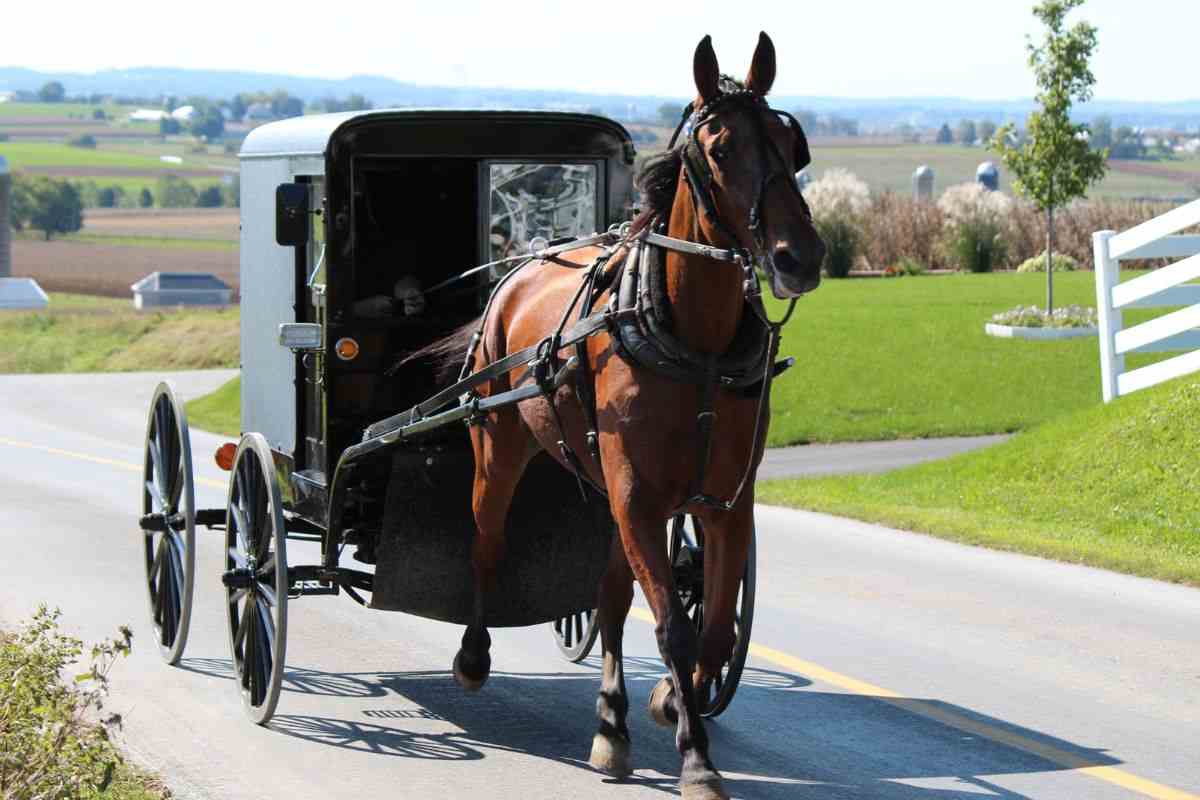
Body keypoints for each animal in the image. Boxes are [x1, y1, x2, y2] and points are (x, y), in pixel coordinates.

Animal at [451, 31, 825, 800]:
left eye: (790, 144)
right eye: (720, 148)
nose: (798, 256)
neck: (697, 344)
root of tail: (521, 266)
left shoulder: (724, 502)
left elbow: (710, 625)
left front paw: (669, 704)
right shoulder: (639, 495)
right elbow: (673, 629)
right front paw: (697, 759)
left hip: (608, 491)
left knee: (613, 596)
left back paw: (612, 725)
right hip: (502, 450)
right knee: (487, 542)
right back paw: (475, 657)